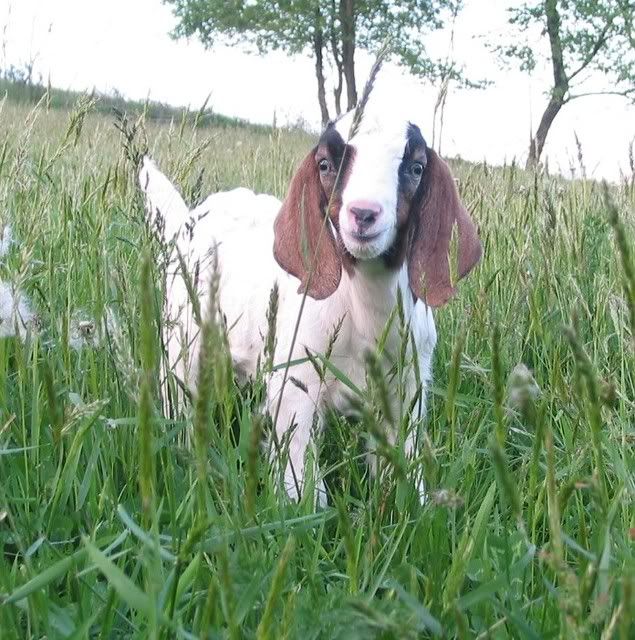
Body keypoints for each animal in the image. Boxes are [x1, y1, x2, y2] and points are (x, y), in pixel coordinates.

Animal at [139, 109, 482, 506]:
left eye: (416, 168)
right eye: (325, 165)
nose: (364, 214)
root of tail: (188, 222)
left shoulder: (408, 386)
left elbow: (403, 465)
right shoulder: (295, 384)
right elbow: (301, 479)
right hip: (183, 341)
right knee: (178, 395)